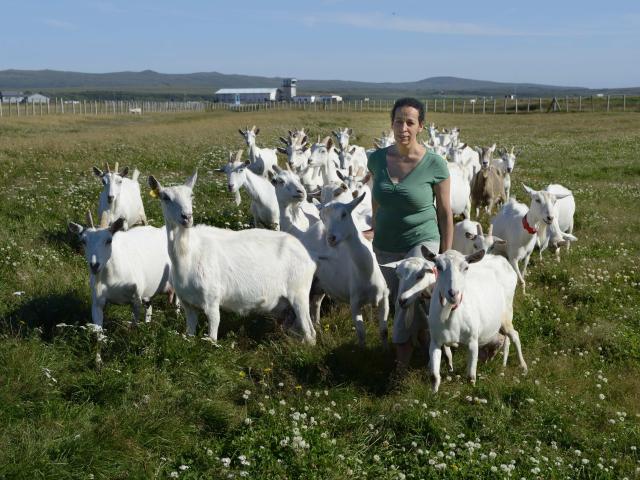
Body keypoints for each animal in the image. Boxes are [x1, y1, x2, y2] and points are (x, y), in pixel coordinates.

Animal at [148, 171, 318, 344]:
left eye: (191, 195)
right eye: (165, 197)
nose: (187, 217)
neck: (189, 254)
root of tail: (307, 255)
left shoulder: (212, 301)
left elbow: (212, 335)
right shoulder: (188, 305)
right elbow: (190, 335)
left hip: (299, 292)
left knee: (310, 332)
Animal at [424, 249, 524, 392]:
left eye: (466, 267)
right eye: (438, 267)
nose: (453, 293)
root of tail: (501, 259)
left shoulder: (472, 340)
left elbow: (470, 377)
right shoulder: (435, 341)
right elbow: (434, 376)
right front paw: (434, 393)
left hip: (507, 312)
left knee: (514, 335)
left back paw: (523, 366)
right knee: (505, 338)